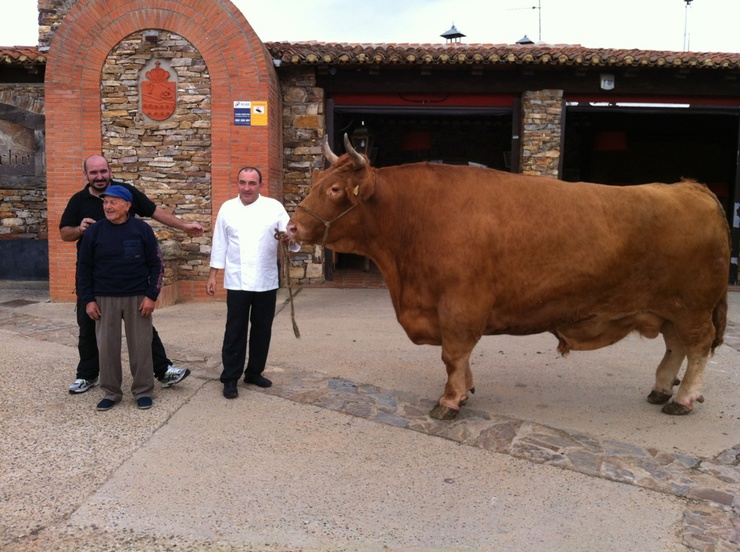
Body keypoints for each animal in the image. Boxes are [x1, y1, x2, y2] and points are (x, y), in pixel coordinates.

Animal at [286, 136, 732, 420]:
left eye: (336, 189)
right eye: (316, 182)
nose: (291, 228)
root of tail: (691, 188)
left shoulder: (459, 307)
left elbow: (453, 355)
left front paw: (450, 401)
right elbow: (460, 357)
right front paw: (466, 391)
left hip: (692, 307)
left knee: (697, 348)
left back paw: (683, 399)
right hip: (671, 309)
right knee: (676, 347)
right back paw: (661, 389)